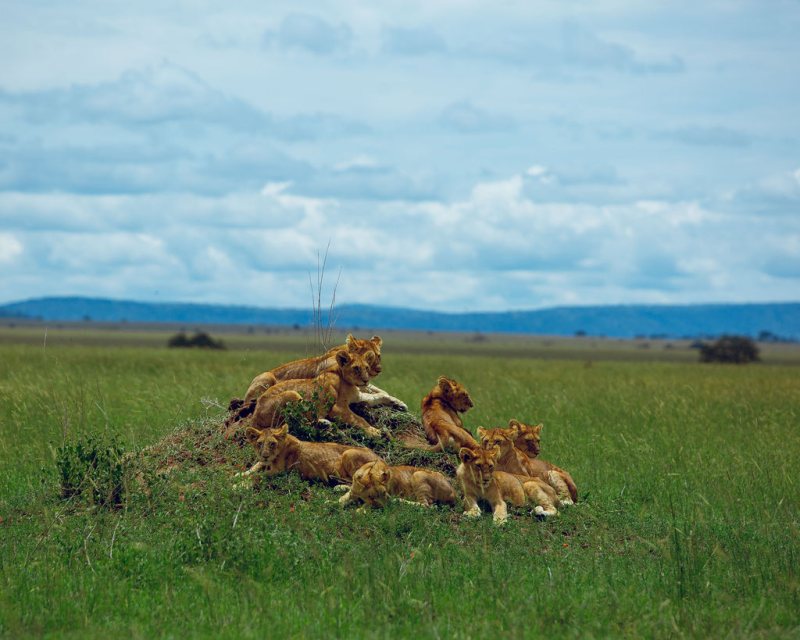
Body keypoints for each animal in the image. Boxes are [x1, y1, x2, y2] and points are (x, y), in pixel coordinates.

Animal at [238, 424, 380, 484]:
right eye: (260, 443)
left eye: (272, 443)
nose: (265, 455)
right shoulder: (265, 462)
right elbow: (256, 466)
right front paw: (240, 474)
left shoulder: (280, 471)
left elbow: (258, 476)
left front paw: (237, 485)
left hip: (348, 453)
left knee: (354, 481)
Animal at [251, 348, 383, 437]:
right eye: (356, 368)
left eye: (366, 367)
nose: (366, 380)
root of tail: (254, 414)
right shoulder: (337, 408)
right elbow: (359, 419)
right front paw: (373, 431)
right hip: (293, 394)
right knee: (297, 422)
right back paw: (324, 423)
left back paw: (324, 423)